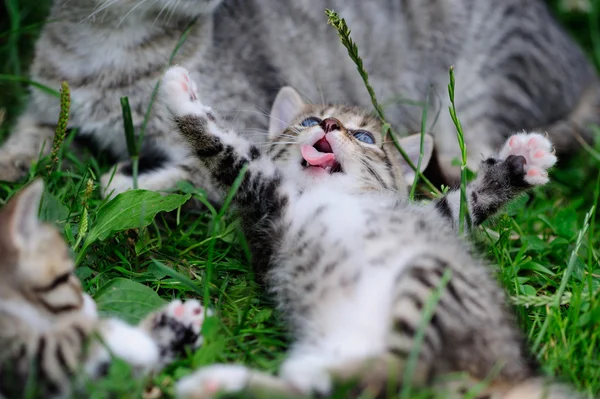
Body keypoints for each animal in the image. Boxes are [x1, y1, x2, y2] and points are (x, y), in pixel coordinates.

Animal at [0, 0, 596, 202]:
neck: (109, 53)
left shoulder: (243, 131)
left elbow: (193, 172)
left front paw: (120, 184)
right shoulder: (47, 105)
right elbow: (29, 137)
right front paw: (15, 165)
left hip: (485, 85)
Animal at [162, 66, 580, 399]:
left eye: (363, 138)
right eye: (310, 121)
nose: (330, 126)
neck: (333, 192)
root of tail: (510, 376)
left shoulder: (436, 219)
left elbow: (467, 201)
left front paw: (519, 165)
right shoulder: (266, 200)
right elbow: (225, 149)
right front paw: (185, 101)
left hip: (432, 273)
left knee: (402, 372)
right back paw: (225, 382)